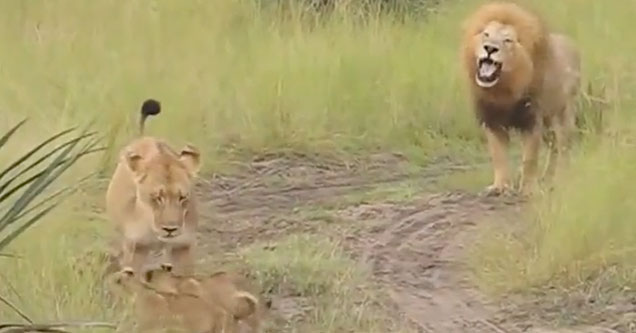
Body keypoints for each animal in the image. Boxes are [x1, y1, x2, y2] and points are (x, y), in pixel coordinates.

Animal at [106, 99, 201, 274]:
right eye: (157, 198)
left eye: (182, 198)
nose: (170, 229)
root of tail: (145, 137)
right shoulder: (135, 248)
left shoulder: (183, 246)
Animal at [460, 1, 580, 195]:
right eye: (486, 35)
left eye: (507, 40)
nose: (490, 48)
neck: (502, 90)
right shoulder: (492, 122)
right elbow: (498, 156)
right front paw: (499, 186)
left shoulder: (531, 121)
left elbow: (530, 159)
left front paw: (528, 188)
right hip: (548, 123)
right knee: (554, 147)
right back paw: (547, 178)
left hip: (563, 115)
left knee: (563, 147)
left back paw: (560, 178)